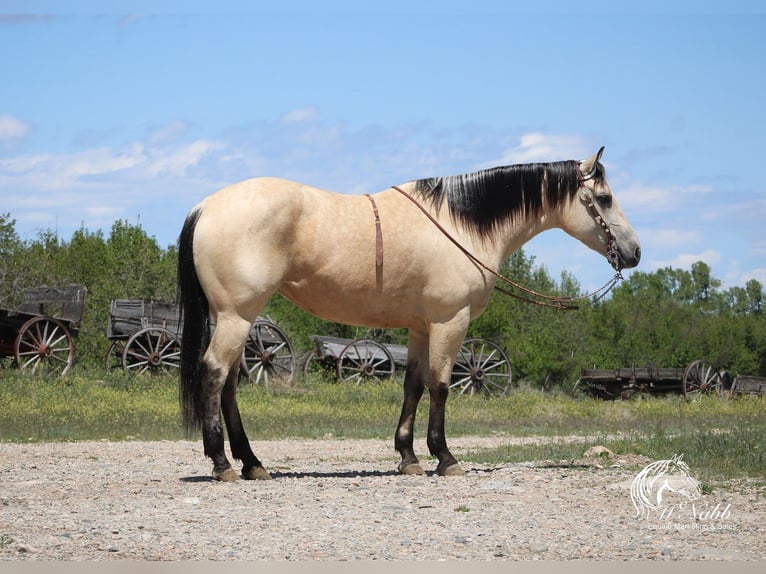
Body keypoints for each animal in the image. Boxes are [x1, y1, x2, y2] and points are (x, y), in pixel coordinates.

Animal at [178, 147, 640, 482]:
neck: (460, 224)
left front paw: (408, 457)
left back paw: (252, 463)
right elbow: (440, 385)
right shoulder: (450, 322)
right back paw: (223, 464)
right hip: (238, 315)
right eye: (604, 199)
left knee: (230, 384)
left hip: (235, 318)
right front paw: (445, 457)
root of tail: (204, 206)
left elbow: (413, 386)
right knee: (215, 374)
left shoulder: (420, 327)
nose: (634, 252)